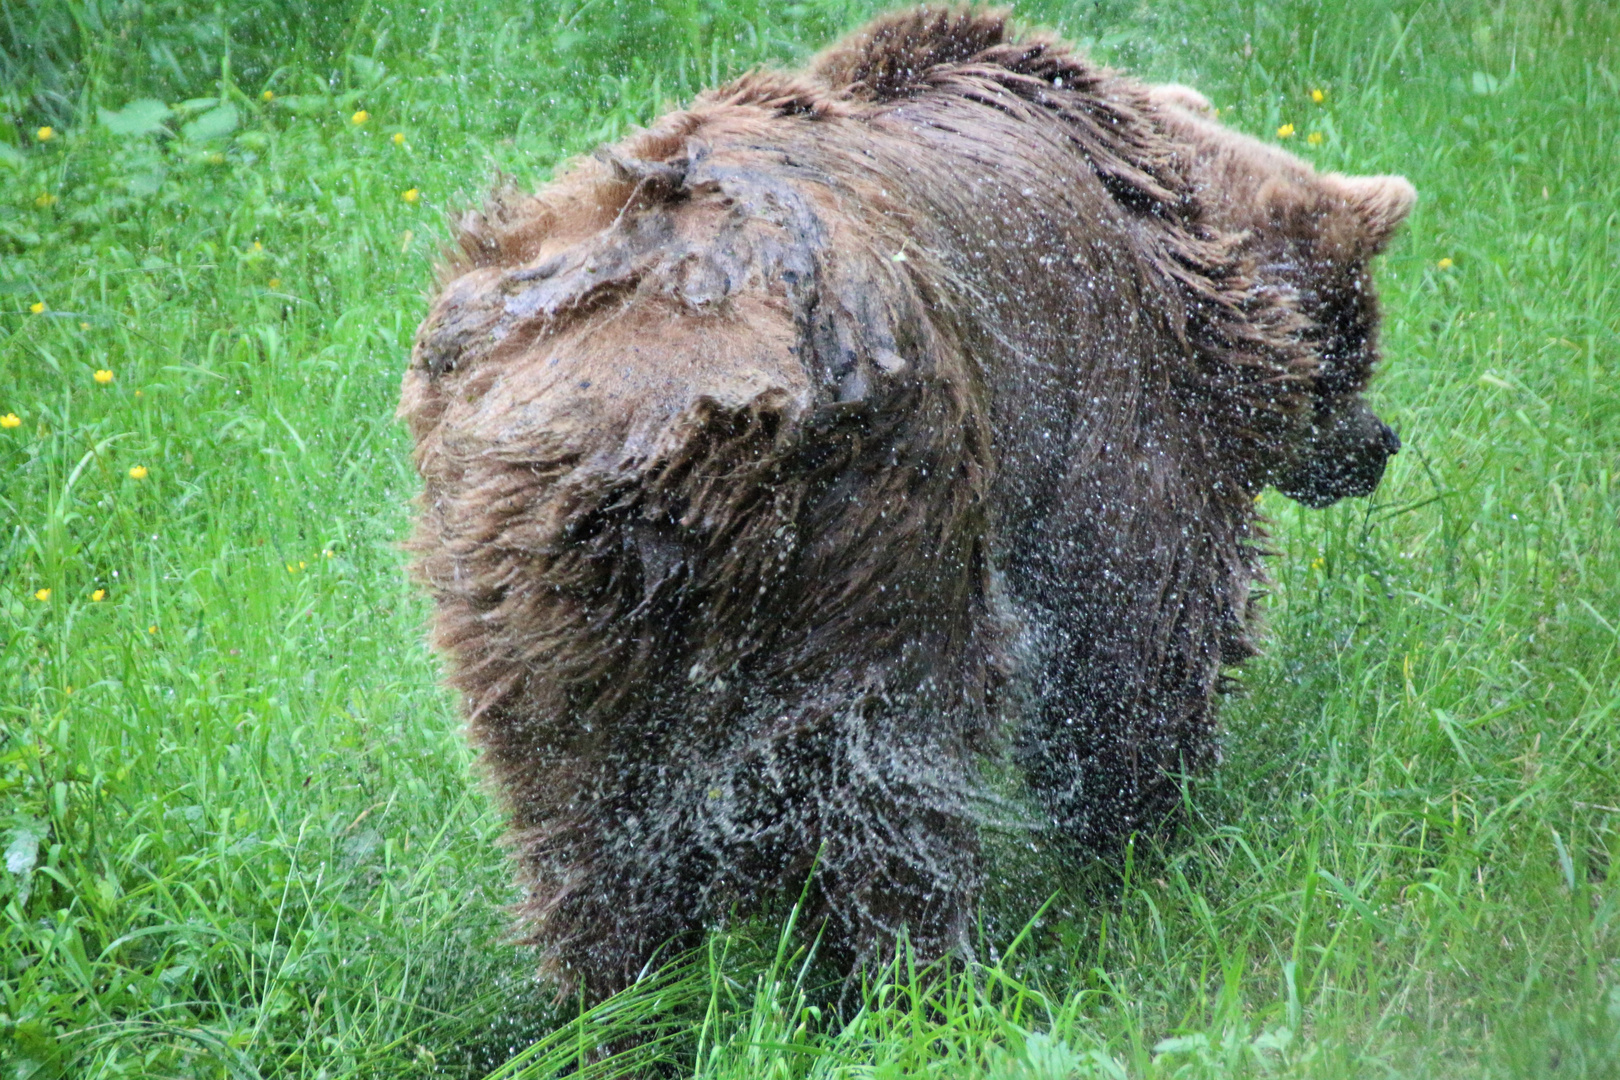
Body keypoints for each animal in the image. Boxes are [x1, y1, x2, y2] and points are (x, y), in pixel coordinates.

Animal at [398, 6, 1412, 1003]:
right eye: (1360, 334)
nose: (1380, 449)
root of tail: (664, 404)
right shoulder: (1109, 384)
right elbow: (1137, 627)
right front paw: (1147, 828)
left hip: (527, 576)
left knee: (578, 807)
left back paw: (622, 995)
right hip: (878, 500)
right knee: (884, 760)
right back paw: (919, 975)